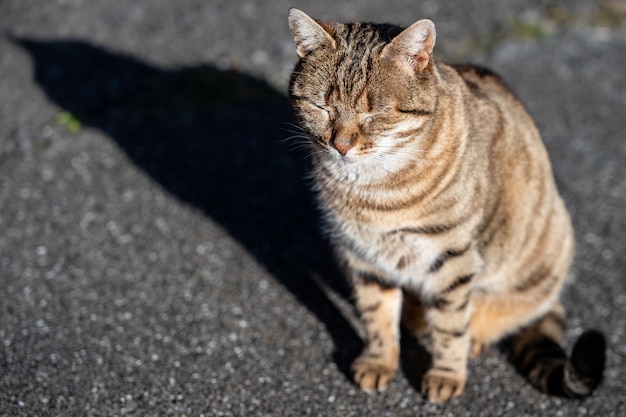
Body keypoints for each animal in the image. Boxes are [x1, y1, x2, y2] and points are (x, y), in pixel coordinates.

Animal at [286, 8, 604, 402]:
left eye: (374, 114)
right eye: (322, 107)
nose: (340, 145)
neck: (370, 188)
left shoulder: (452, 258)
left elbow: (451, 327)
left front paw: (446, 374)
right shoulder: (362, 256)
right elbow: (376, 316)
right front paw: (378, 361)